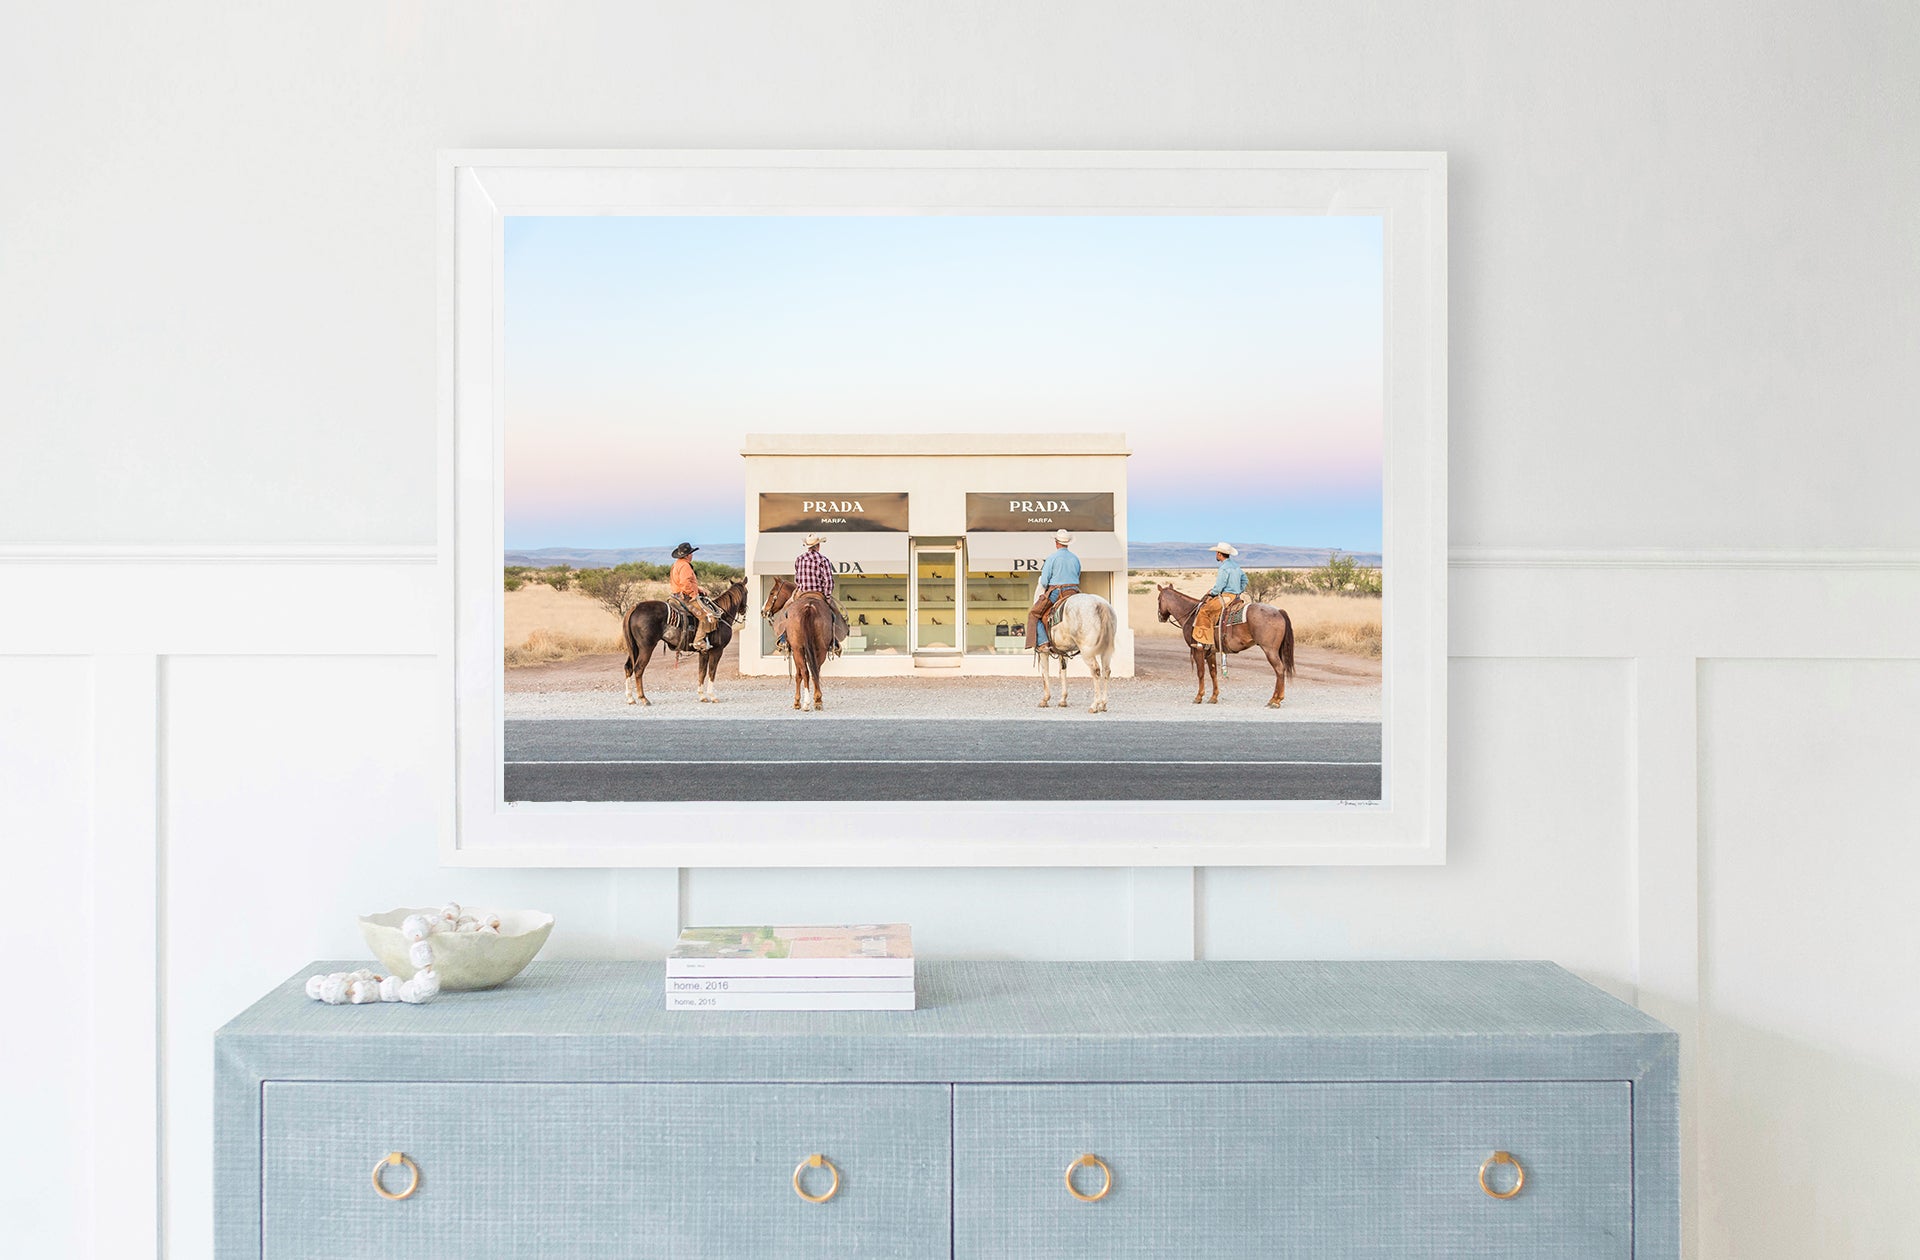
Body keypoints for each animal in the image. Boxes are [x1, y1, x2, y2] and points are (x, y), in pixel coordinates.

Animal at [1144, 583, 1297, 702]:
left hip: (1269, 650)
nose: (1160, 616)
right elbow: (1213, 673)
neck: (1191, 614)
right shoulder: (1210, 651)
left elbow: (1201, 672)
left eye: (1158, 599)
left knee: (1279, 669)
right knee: (1280, 670)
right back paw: (1276, 698)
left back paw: (1275, 700)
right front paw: (1213, 697)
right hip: (1276, 650)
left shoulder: (1198, 649)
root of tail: (1279, 611)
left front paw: (1199, 696)